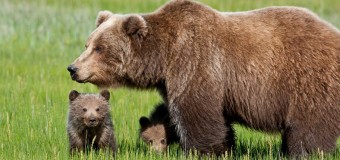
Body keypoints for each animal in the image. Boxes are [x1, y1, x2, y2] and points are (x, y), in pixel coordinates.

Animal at [67, 0, 340, 156]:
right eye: (88, 44)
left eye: (100, 48)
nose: (73, 68)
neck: (164, 56)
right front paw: (226, 147)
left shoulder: (196, 62)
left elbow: (197, 112)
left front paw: (204, 150)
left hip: (308, 80)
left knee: (309, 127)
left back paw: (302, 152)